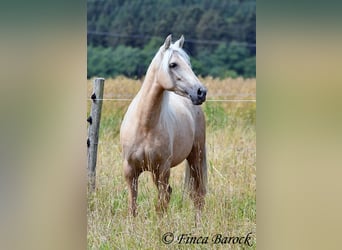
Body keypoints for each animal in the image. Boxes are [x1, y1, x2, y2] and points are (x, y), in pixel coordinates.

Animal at [119, 35, 207, 217]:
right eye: (173, 64)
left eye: (189, 63)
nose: (201, 92)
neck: (145, 125)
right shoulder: (130, 171)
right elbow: (132, 206)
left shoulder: (163, 170)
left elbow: (161, 205)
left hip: (196, 156)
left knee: (198, 195)